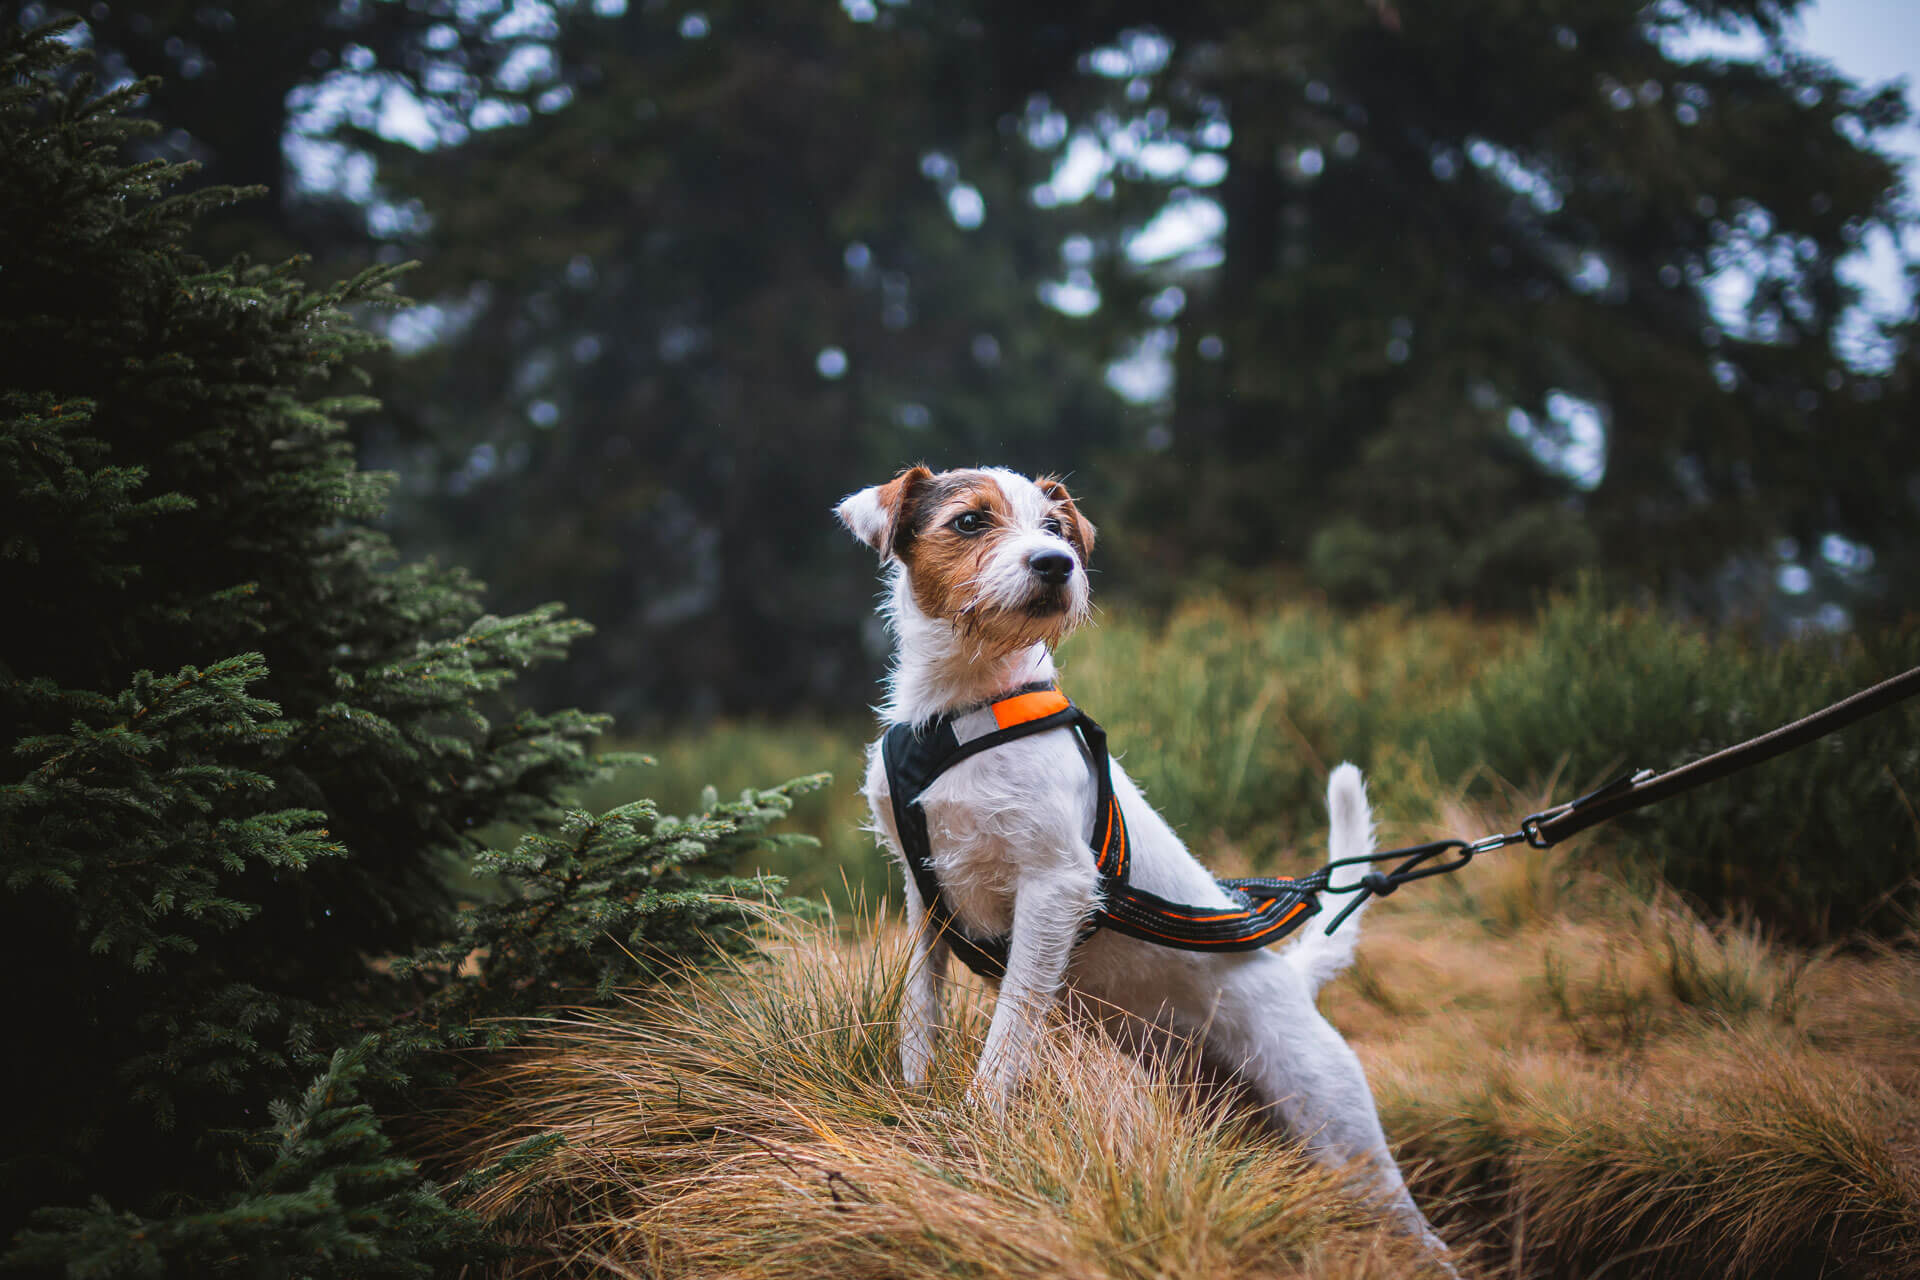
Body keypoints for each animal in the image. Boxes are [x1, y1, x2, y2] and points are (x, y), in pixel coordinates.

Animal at [833, 462, 1443, 1258]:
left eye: (1055, 528)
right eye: (970, 521)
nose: (1056, 564)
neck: (962, 710)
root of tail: (1293, 979)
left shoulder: (1055, 886)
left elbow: (1009, 1029)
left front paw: (978, 1124)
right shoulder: (924, 895)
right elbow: (918, 1011)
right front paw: (911, 1092)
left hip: (1343, 1134)